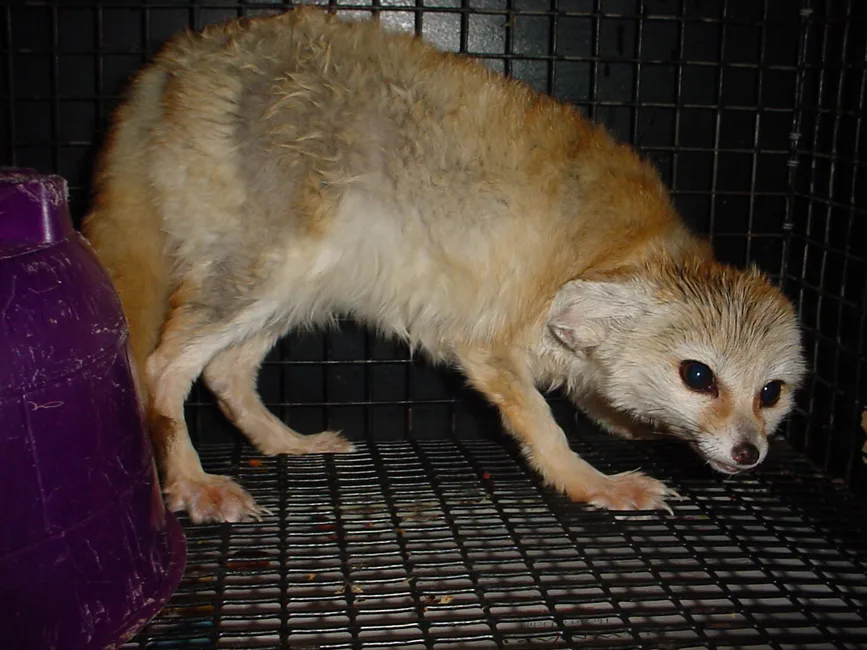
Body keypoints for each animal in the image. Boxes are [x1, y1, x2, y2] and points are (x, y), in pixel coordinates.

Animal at [82, 6, 806, 524]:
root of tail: (181, 53)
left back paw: (286, 443)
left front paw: (632, 429)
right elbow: (547, 428)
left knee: (226, 373)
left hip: (295, 292)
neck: (619, 245)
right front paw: (591, 483)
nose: (749, 454)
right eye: (697, 376)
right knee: (162, 368)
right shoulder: (486, 345)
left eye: (771, 393)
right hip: (259, 274)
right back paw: (192, 481)